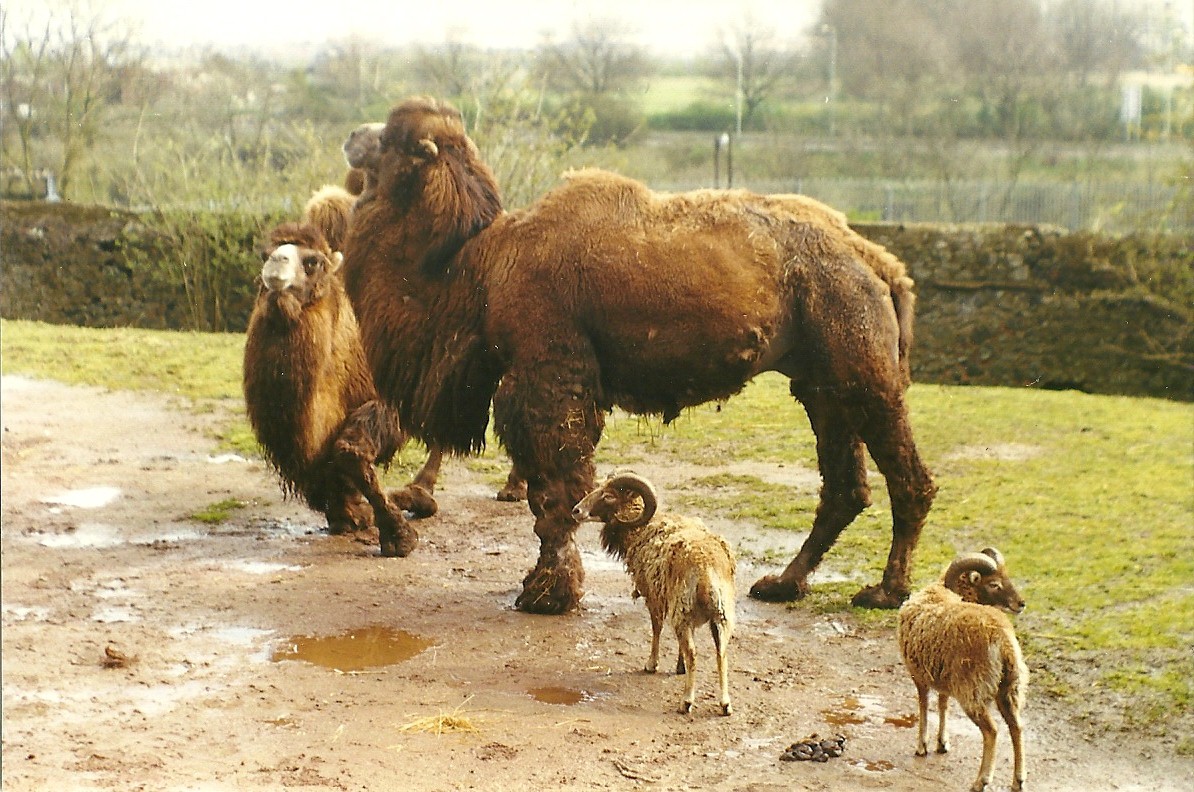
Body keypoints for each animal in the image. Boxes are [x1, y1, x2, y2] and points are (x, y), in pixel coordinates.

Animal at [341, 96, 936, 614]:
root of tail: (876, 260)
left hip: (864, 374)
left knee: (908, 479)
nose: (351, 136)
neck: (476, 266)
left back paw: (887, 591)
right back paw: (783, 583)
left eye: (390, 138)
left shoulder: (547, 373)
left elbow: (557, 489)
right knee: (845, 486)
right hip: (820, 384)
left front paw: (547, 594)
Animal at [572, 471, 736, 716]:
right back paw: (725, 704)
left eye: (609, 496)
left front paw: (651, 664)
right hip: (720, 615)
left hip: (682, 610)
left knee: (694, 653)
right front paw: (679, 667)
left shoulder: (653, 595)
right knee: (721, 653)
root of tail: (706, 569)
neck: (641, 527)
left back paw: (686, 701)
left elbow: (656, 628)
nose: (576, 511)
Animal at [897, 549, 1028, 792]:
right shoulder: (943, 678)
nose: (1021, 603)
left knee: (992, 731)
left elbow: (923, 705)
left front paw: (922, 746)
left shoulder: (919, 675)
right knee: (1017, 727)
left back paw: (981, 781)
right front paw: (942, 742)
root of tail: (1003, 643)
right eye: (994, 584)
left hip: (973, 691)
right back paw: (1019, 780)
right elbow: (943, 704)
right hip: (1009, 688)